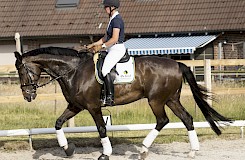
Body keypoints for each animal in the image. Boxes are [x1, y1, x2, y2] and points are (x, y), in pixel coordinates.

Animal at [14, 47, 231, 159]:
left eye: (22, 70)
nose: (27, 95)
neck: (74, 71)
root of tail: (177, 63)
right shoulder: (76, 106)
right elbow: (58, 123)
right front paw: (67, 149)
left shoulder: (93, 107)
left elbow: (101, 128)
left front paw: (105, 154)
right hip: (171, 99)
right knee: (187, 119)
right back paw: (192, 151)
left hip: (156, 100)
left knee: (163, 120)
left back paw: (143, 150)